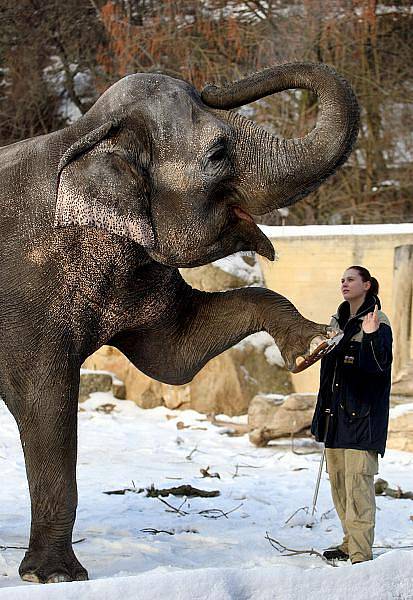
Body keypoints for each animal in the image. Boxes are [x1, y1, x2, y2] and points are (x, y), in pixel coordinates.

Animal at [0, 61, 358, 580]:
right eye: (218, 152)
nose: (213, 84)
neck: (83, 134)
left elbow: (173, 355)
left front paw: (315, 346)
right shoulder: (26, 298)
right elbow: (42, 399)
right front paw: (52, 576)